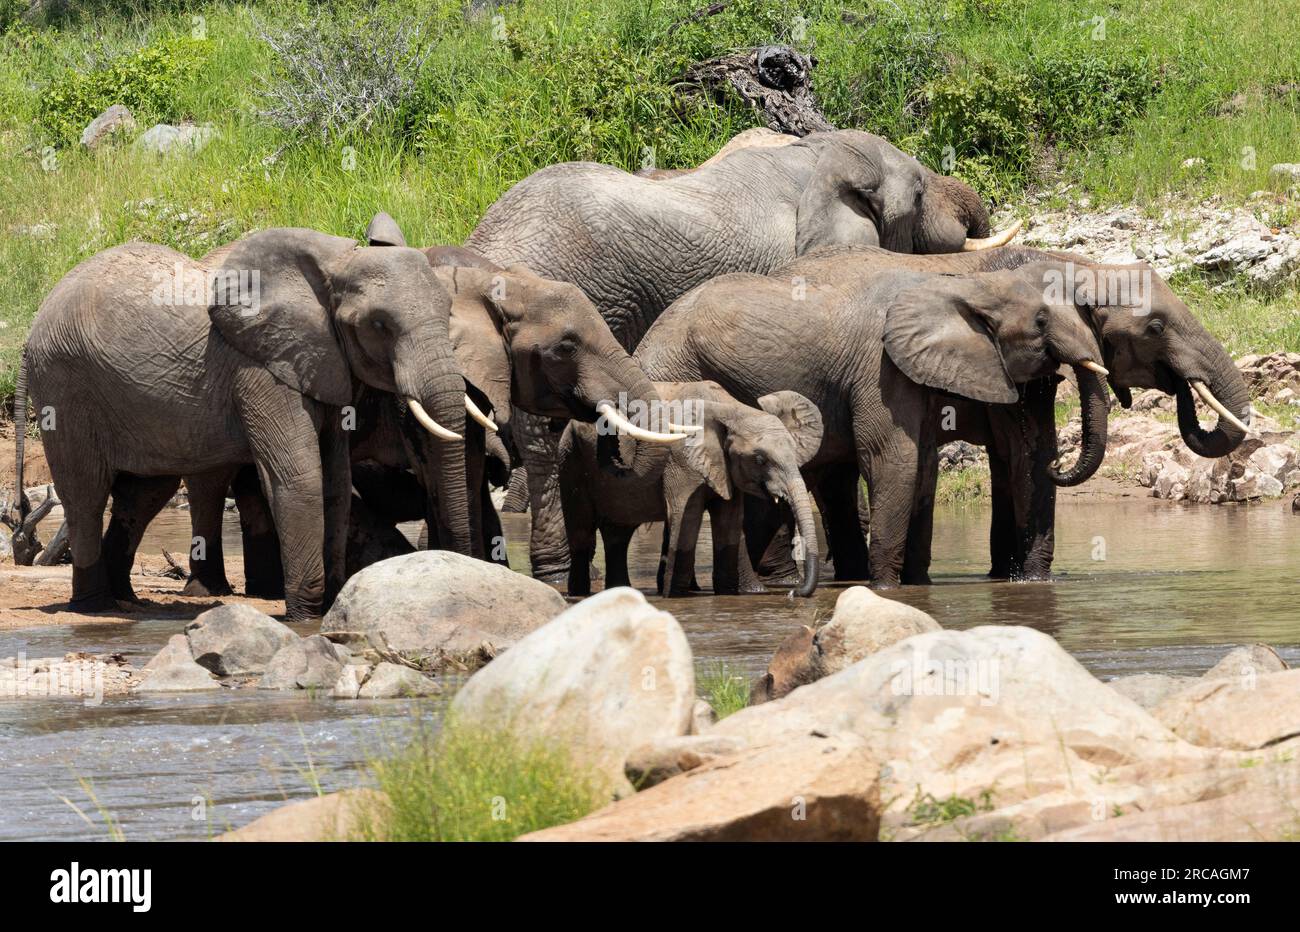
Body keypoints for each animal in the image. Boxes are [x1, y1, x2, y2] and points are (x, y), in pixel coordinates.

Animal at [21, 227, 473, 618]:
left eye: (449, 309)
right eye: (379, 324)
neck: (334, 264)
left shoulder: (322, 364)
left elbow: (336, 481)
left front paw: (328, 604)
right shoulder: (259, 370)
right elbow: (299, 478)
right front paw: (305, 615)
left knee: (143, 493)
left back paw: (125, 600)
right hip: (64, 385)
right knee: (86, 493)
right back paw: (94, 607)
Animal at [559, 376, 821, 595]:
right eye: (759, 460)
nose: (794, 593)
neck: (732, 409)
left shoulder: (726, 469)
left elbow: (729, 522)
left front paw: (727, 594)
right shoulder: (680, 459)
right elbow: (687, 519)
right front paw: (675, 596)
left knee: (618, 536)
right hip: (570, 459)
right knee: (582, 534)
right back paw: (578, 594)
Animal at [634, 258, 1112, 584]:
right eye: (1041, 320)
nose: (1057, 465)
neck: (960, 284)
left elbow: (922, 466)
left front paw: (915, 584)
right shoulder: (878, 370)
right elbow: (892, 460)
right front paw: (884, 587)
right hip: (675, 371)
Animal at [774, 243, 1253, 577]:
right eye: (1155, 328)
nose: (1181, 384)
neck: (1078, 268)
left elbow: (1018, 459)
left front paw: (1013, 577)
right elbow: (1026, 453)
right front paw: (1033, 579)